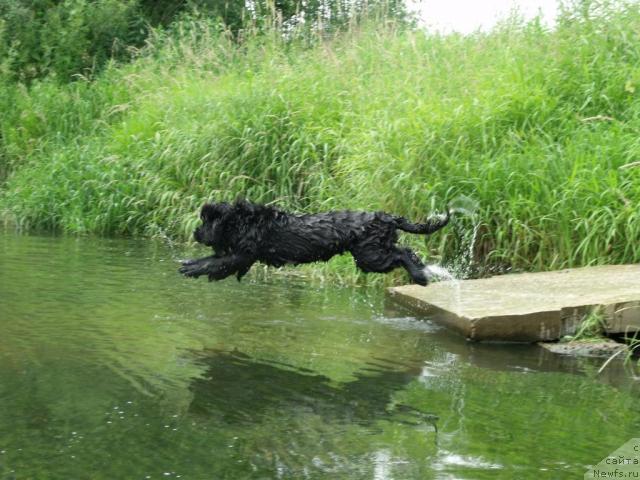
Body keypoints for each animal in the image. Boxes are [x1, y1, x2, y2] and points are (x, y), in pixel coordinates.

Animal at [180, 199, 450, 284]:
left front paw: (191, 268)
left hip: (371, 255)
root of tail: (386, 217)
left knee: (403, 253)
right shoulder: (237, 254)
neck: (241, 221)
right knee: (405, 251)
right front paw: (189, 263)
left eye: (206, 221)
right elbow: (213, 259)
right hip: (373, 252)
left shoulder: (242, 254)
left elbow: (214, 263)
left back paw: (420, 276)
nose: (195, 233)